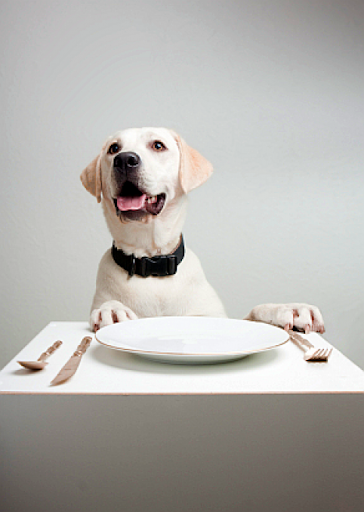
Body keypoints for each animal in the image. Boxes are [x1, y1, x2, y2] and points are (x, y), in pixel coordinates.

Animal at [80, 127, 324, 336]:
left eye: (158, 145)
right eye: (113, 148)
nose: (124, 159)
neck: (151, 261)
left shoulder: (215, 317)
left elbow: (253, 313)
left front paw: (289, 309)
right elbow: (108, 304)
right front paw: (110, 309)